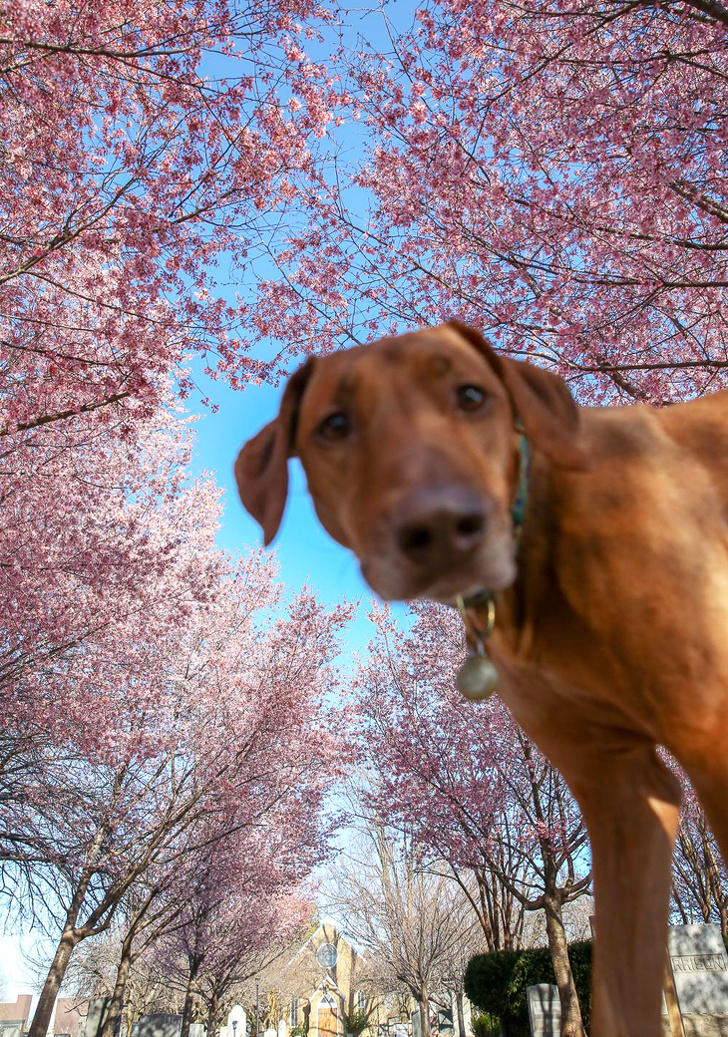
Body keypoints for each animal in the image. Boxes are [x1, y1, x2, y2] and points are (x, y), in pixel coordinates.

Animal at [235, 319, 728, 1032]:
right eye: (334, 424)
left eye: (472, 395)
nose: (442, 525)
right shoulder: (623, 798)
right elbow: (616, 998)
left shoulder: (710, 733)